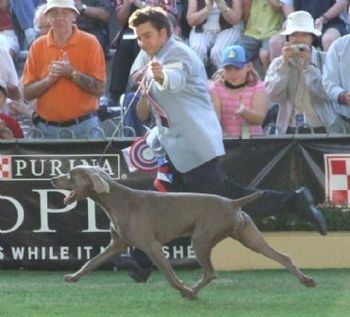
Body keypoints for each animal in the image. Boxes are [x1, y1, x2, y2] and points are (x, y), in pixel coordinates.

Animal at [50, 165, 316, 298]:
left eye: (71, 175)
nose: (53, 179)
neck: (115, 200)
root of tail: (233, 203)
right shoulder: (118, 244)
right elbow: (91, 262)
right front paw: (73, 277)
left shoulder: (151, 245)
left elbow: (170, 275)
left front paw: (183, 288)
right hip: (250, 238)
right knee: (283, 257)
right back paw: (306, 280)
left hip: (201, 239)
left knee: (210, 273)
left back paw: (191, 293)